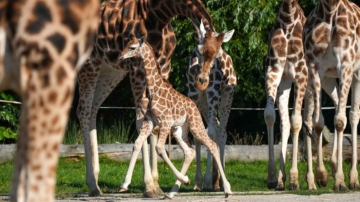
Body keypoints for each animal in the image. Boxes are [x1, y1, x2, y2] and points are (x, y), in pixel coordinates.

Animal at [119, 36, 235, 199]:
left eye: (132, 47)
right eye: (126, 45)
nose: (121, 56)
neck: (154, 89)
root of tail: (194, 107)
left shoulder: (165, 121)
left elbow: (159, 148)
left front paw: (185, 179)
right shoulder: (150, 122)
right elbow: (137, 144)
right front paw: (124, 184)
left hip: (195, 124)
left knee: (211, 145)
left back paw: (227, 190)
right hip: (179, 130)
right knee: (189, 152)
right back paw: (171, 193)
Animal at [186, 20, 236, 191]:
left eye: (217, 55)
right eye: (200, 51)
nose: (202, 80)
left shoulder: (216, 93)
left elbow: (212, 132)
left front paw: (209, 180)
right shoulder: (195, 95)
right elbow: (198, 134)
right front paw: (199, 181)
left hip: (223, 97)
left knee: (221, 131)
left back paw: (219, 179)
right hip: (203, 101)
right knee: (217, 128)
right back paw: (214, 180)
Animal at [302, 0, 360, 191]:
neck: (329, 11)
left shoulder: (346, 65)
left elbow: (341, 121)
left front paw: (340, 180)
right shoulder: (315, 67)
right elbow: (318, 122)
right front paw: (322, 175)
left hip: (356, 74)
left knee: (353, 114)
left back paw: (353, 179)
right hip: (327, 78)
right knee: (332, 106)